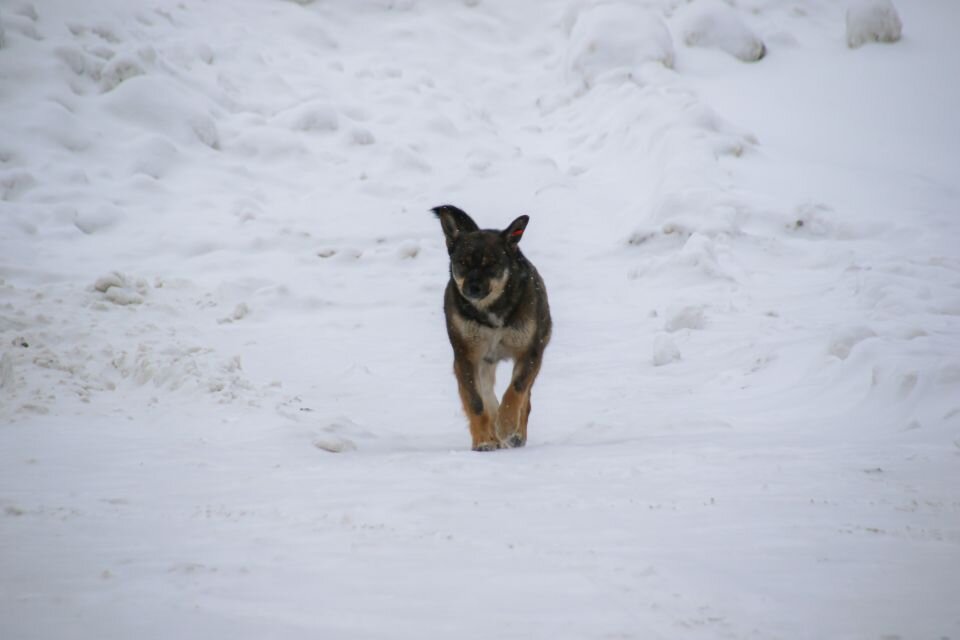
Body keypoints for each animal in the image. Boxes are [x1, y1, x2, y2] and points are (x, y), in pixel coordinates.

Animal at [436, 205, 556, 450]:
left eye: (491, 264)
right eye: (462, 262)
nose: (472, 287)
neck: (490, 312)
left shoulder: (530, 352)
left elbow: (516, 390)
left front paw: (507, 425)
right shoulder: (466, 357)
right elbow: (476, 402)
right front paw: (484, 439)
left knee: (525, 401)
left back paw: (515, 434)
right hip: (484, 363)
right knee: (488, 396)